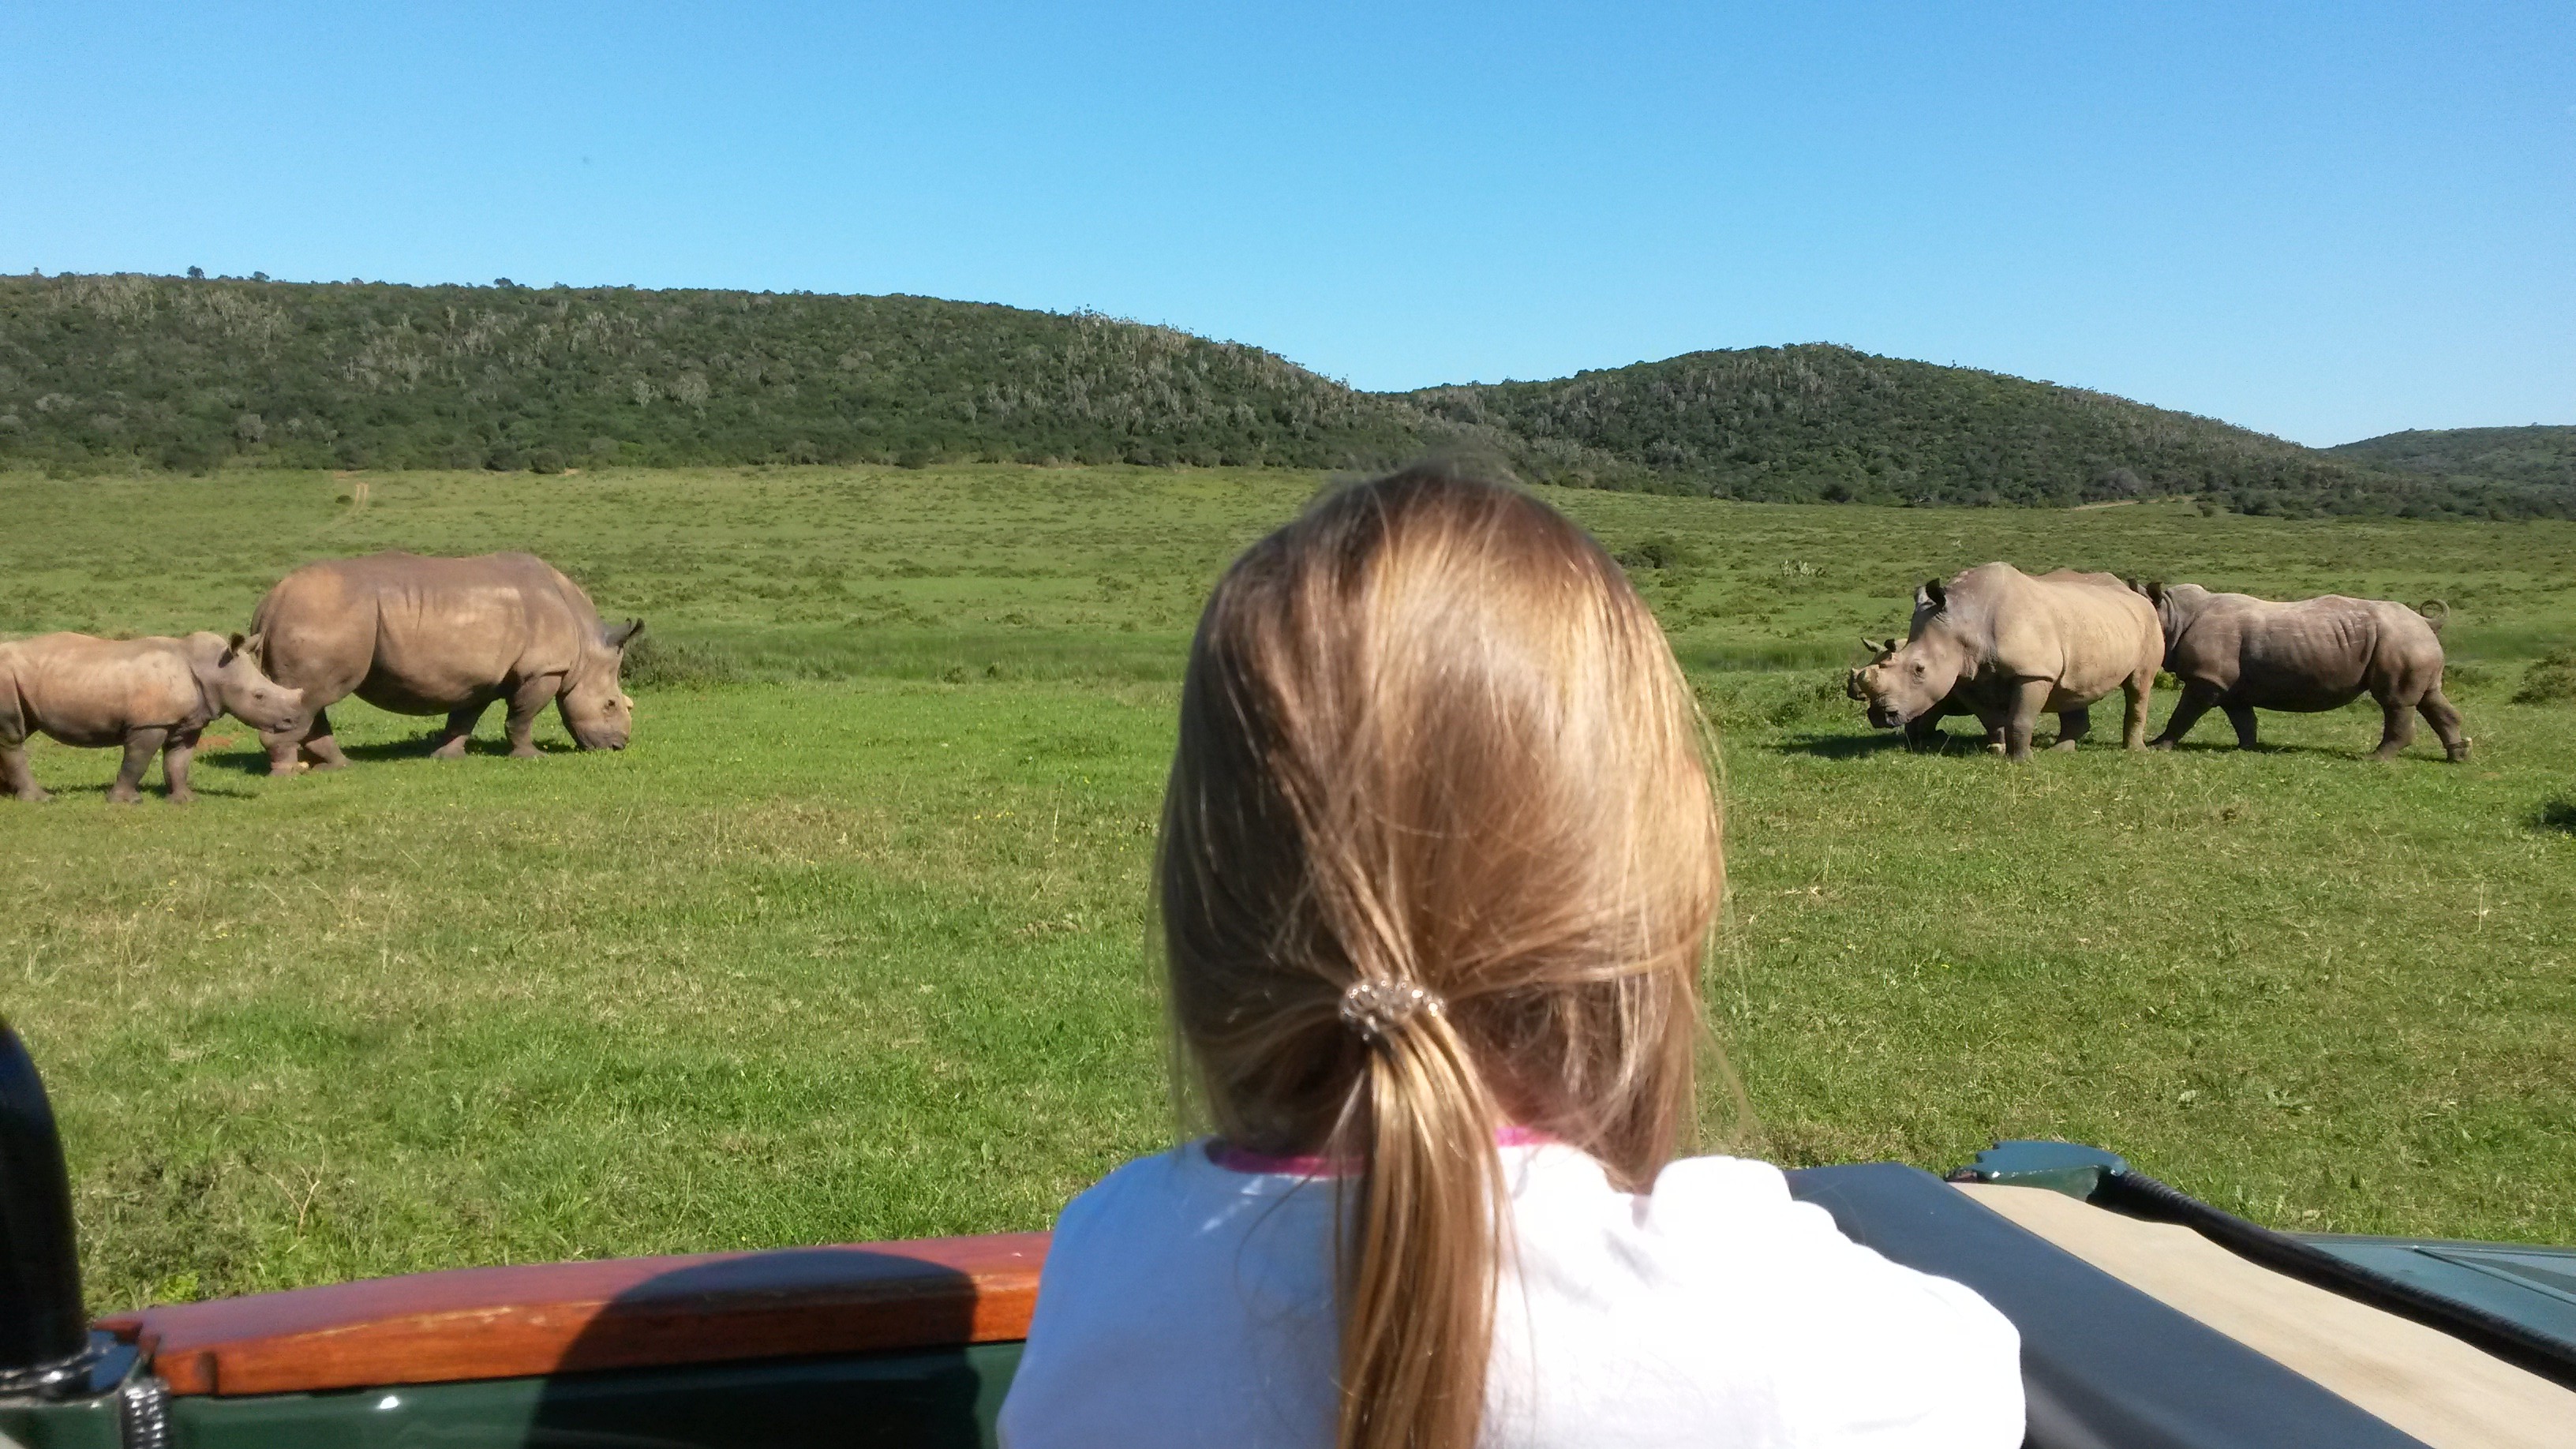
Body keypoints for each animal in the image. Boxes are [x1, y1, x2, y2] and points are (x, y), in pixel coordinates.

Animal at [0, 629, 306, 799]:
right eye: (259, 696)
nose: (292, 721)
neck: (211, 668)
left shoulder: (188, 721)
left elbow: (178, 761)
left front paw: (185, 800)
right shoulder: (149, 723)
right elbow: (137, 761)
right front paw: (126, 801)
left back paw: (9, 794)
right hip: (6, 678)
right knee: (14, 738)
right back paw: (41, 799)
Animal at [1855, 562, 2153, 763]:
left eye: (1919, 669)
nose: (1880, 716)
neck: (1965, 621)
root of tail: (2135, 593)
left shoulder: (2033, 672)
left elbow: (2020, 718)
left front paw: (2022, 761)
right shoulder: (1965, 676)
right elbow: (1991, 720)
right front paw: (1997, 751)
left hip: (2147, 621)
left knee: (2138, 686)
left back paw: (2135, 751)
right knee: (2073, 687)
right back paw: (2060, 751)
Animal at [2122, 577, 2462, 763]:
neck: (2173, 613)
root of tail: (2425, 621)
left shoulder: (2207, 678)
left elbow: (2183, 714)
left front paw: (2158, 746)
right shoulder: (2228, 684)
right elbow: (2243, 718)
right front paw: (2246, 748)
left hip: (2400, 639)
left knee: (2396, 701)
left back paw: (2375, 758)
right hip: (2412, 639)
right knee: (2431, 697)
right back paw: (2458, 756)